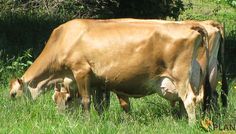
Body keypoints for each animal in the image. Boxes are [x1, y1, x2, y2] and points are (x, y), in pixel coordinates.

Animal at [8, 18, 208, 123]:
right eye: (54, 100)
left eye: (12, 95)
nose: (62, 117)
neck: (64, 39)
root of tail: (188, 24)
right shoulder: (98, 82)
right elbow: (100, 104)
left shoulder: (81, 71)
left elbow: (86, 101)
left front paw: (87, 122)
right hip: (192, 75)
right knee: (185, 101)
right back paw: (183, 120)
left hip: (180, 75)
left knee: (189, 99)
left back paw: (191, 125)